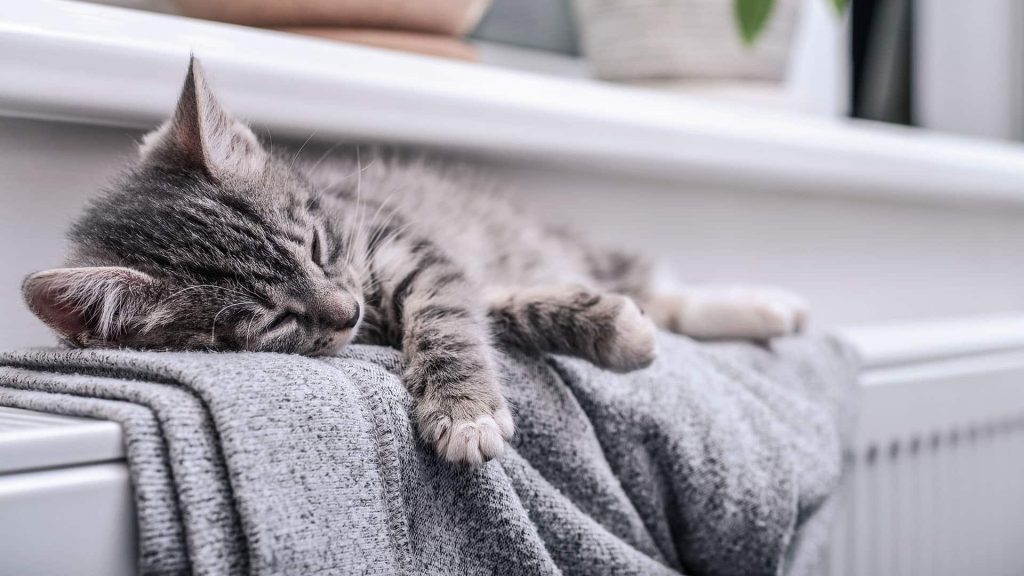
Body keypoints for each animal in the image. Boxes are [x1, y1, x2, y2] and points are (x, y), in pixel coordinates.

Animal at [19, 60, 802, 467]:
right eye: (270, 322)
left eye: (315, 245)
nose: (346, 312)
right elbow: (495, 311)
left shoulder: (409, 247)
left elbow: (451, 318)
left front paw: (465, 408)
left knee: (651, 280)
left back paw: (758, 306)